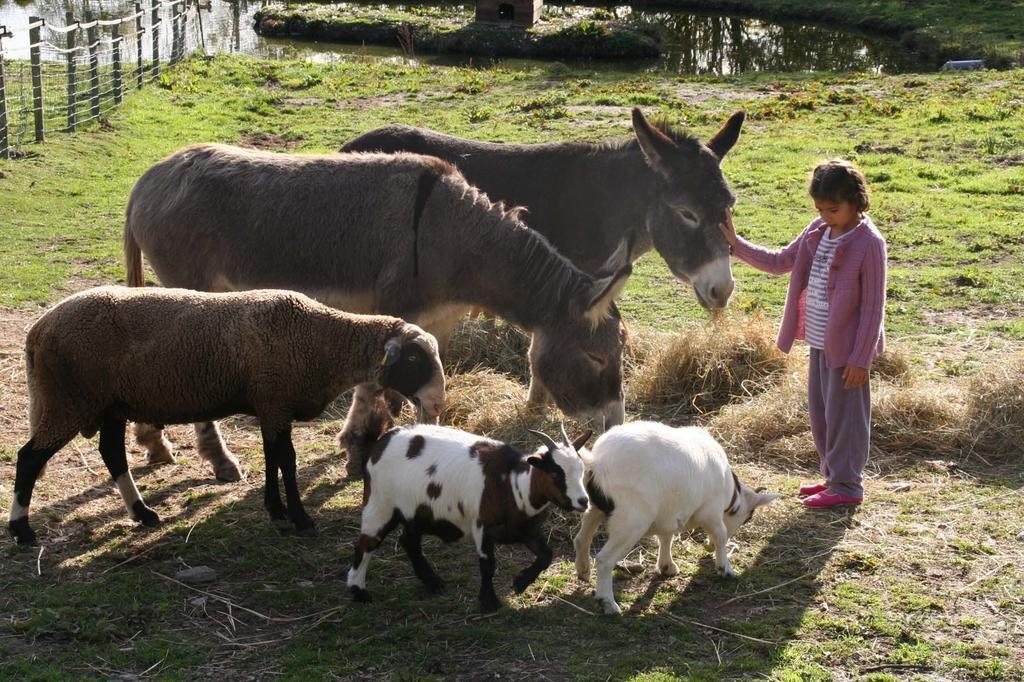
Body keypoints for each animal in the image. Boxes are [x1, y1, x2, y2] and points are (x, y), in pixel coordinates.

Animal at [348, 405, 589, 614]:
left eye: (582, 470)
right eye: (555, 473)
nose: (583, 501)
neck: (512, 484)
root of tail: (381, 442)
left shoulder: (526, 531)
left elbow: (546, 555)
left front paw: (520, 583)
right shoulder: (482, 526)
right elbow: (487, 564)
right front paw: (489, 602)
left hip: (415, 512)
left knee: (409, 541)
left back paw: (433, 583)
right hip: (380, 504)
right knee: (365, 544)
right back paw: (359, 592)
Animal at [577, 421, 774, 614]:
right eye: (748, 517)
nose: (708, 547)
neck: (730, 492)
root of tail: (598, 462)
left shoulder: (668, 513)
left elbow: (666, 537)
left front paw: (667, 566)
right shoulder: (710, 511)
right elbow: (721, 534)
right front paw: (725, 567)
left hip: (594, 507)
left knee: (581, 538)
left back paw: (583, 571)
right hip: (631, 520)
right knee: (604, 560)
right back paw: (607, 602)